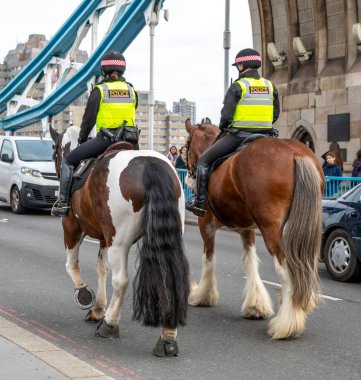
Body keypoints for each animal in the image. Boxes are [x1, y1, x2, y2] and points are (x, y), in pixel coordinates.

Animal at [51, 125, 191, 356]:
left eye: (55, 150)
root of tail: (150, 166)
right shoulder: (104, 237)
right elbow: (101, 268)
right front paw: (98, 308)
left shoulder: (71, 226)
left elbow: (71, 265)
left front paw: (84, 295)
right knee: (172, 278)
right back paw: (167, 336)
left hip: (119, 243)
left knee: (121, 281)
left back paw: (110, 324)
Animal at [184, 119, 322, 338]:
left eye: (186, 145)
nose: (190, 176)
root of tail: (296, 154)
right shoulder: (247, 228)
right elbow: (250, 261)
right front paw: (255, 306)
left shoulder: (205, 224)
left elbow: (209, 259)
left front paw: (202, 295)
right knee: (306, 265)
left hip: (271, 228)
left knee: (286, 269)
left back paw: (287, 323)